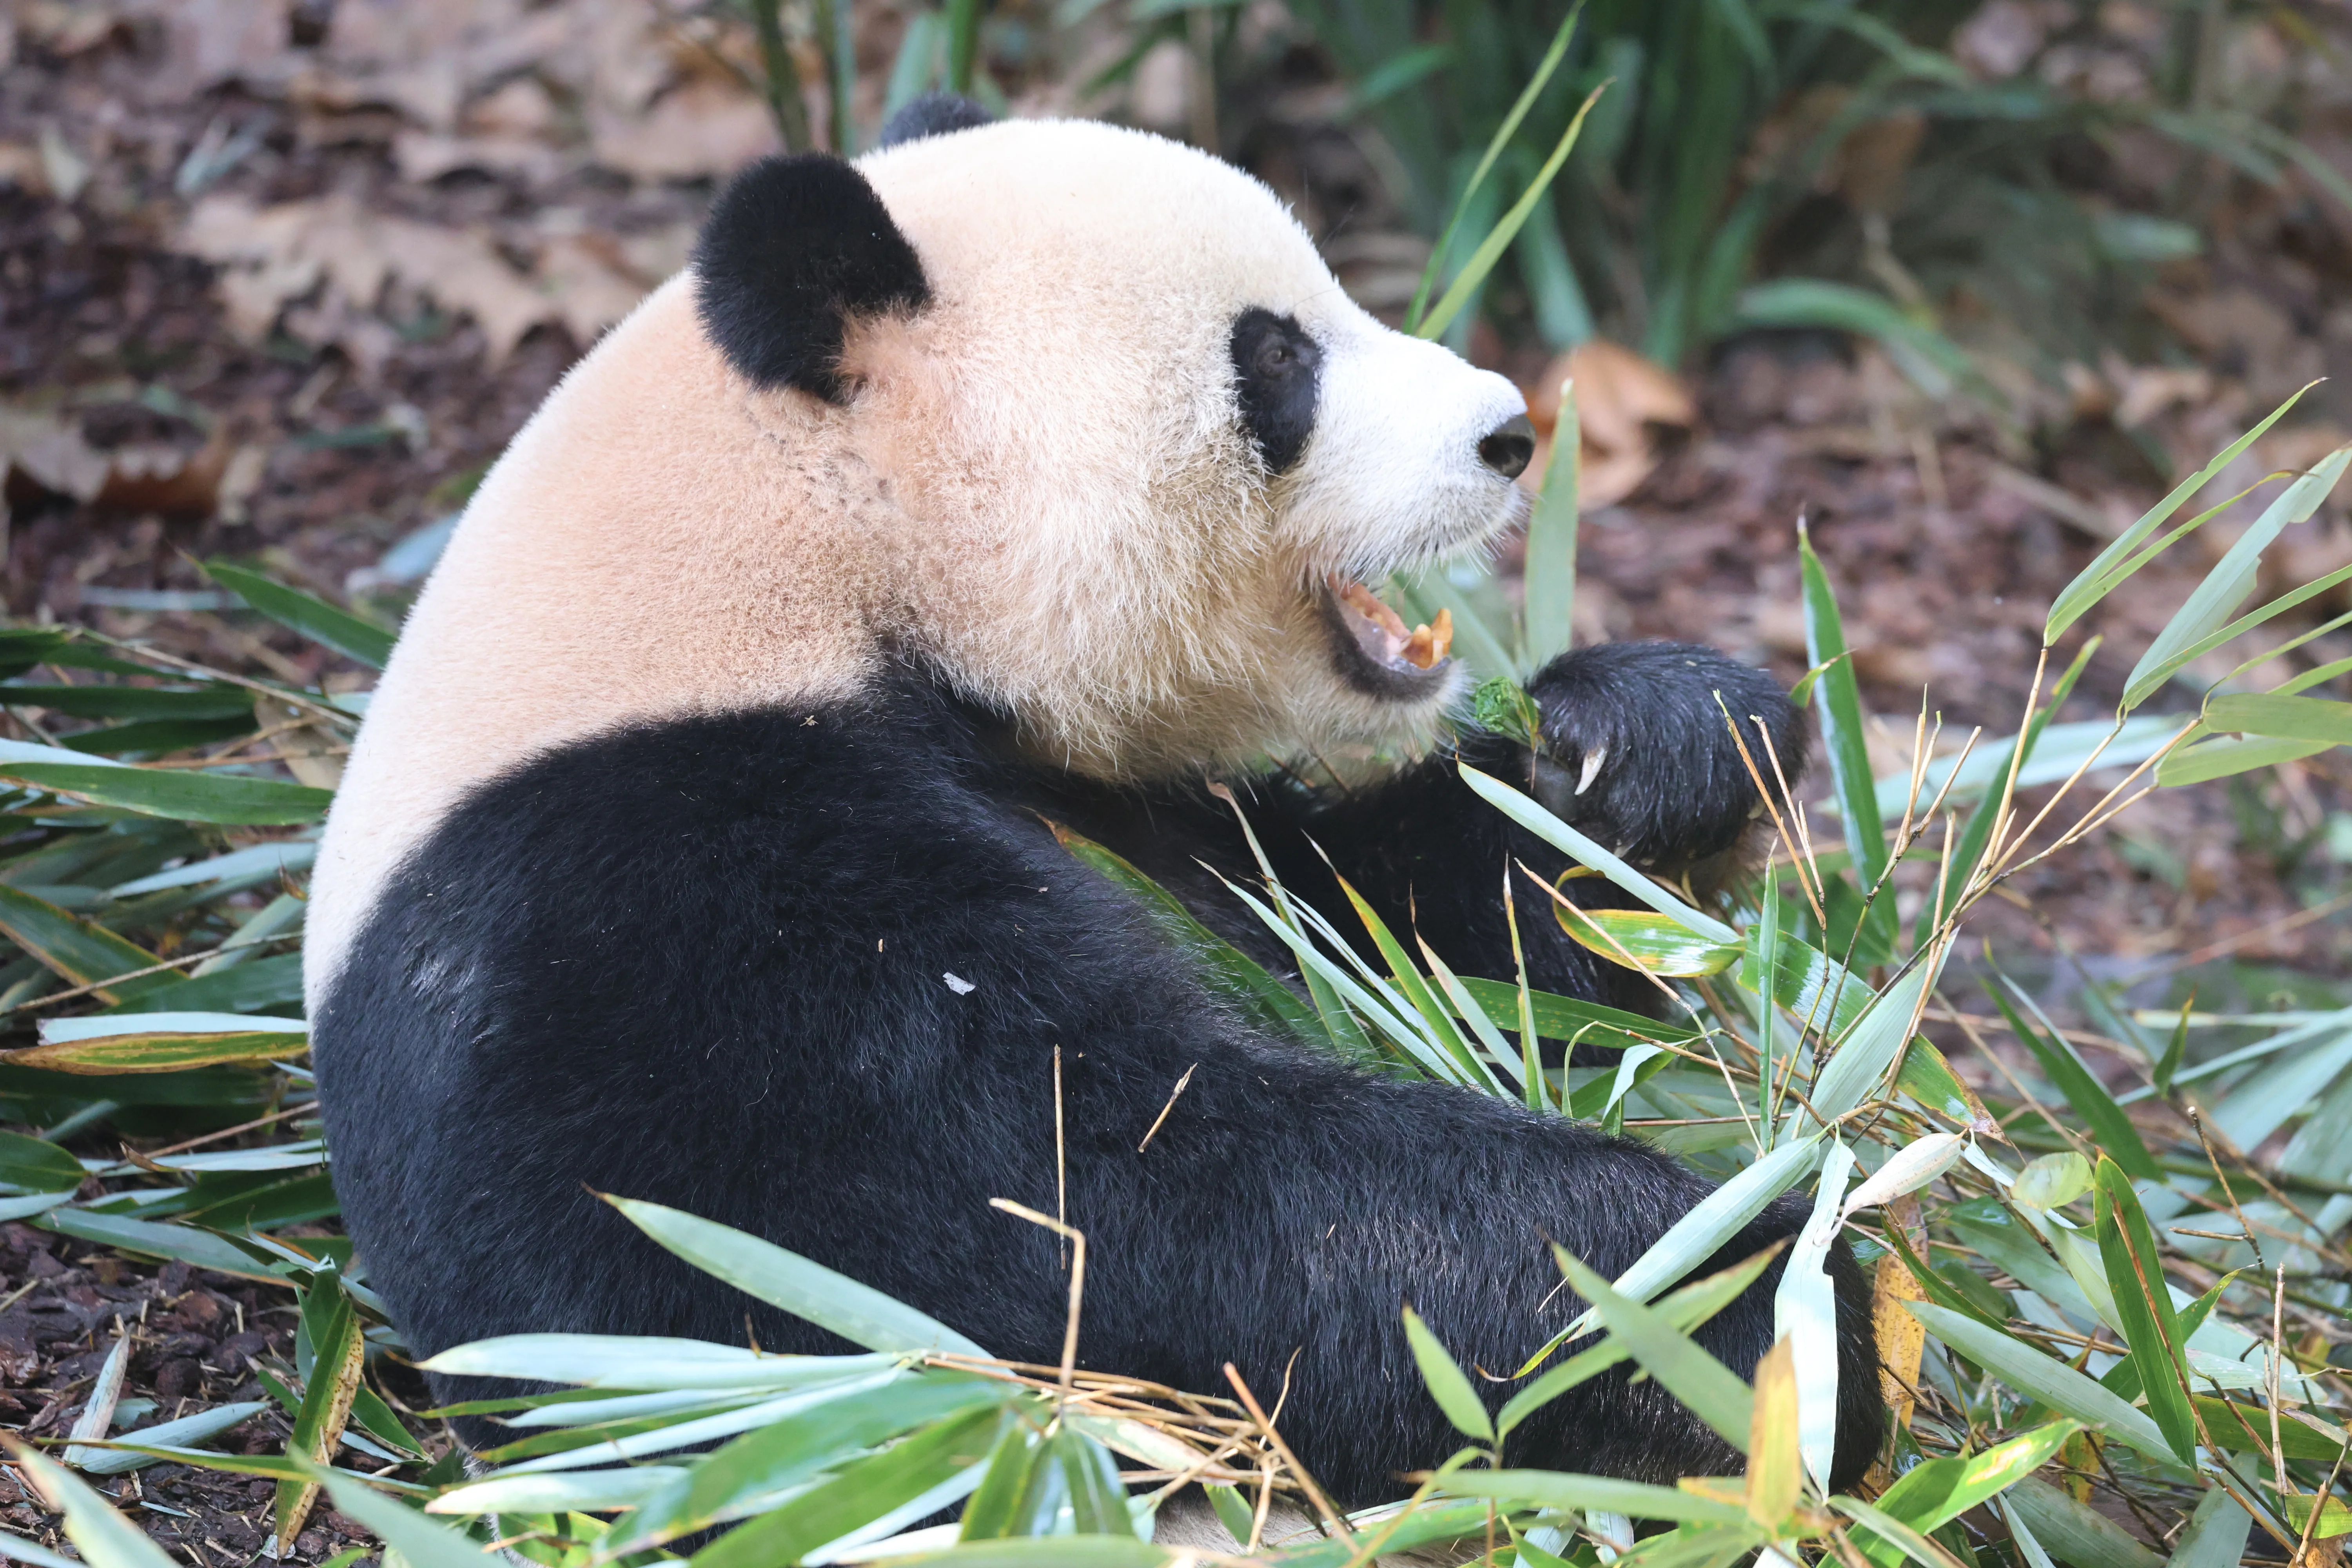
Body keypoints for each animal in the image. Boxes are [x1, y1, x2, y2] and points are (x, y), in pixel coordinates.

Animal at [306, 99, 1884, 1510]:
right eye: (1277, 358)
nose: (1508, 435)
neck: (800, 553)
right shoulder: (655, 905)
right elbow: (1075, 1204)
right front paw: (1755, 1301)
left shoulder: (1121, 797)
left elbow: (1372, 908)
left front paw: (1649, 740)